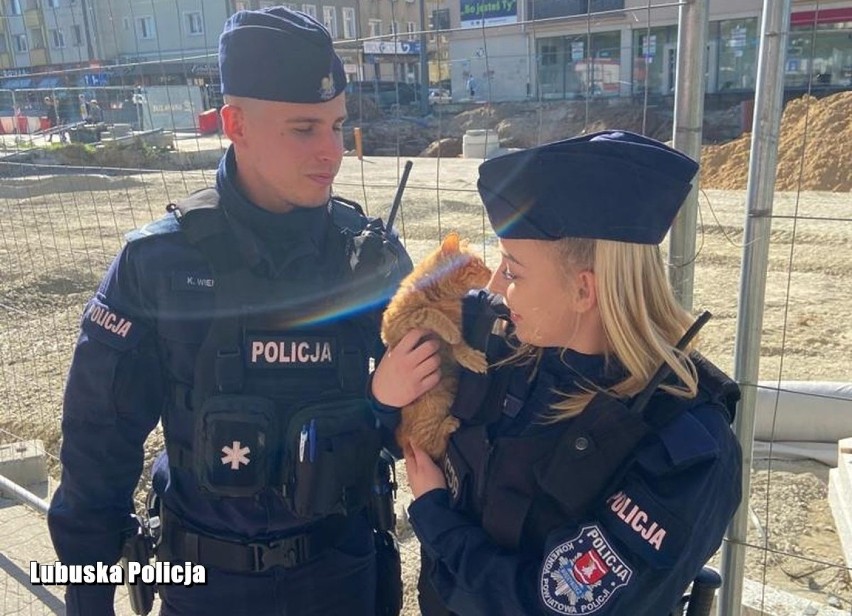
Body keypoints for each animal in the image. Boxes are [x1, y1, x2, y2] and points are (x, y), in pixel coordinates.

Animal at [382, 233, 492, 460]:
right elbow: (426, 313)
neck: (442, 297)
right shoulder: (392, 325)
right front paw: (447, 328)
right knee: (425, 445)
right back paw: (448, 424)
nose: (491, 272)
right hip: (435, 402)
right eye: (476, 263)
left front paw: (469, 356)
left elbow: (459, 346)